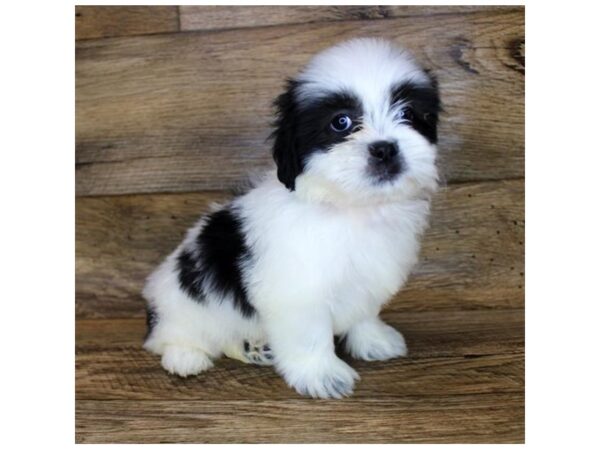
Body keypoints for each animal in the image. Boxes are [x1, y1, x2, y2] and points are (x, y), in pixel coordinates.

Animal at [142, 37, 440, 398]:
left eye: (409, 113)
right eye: (341, 122)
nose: (384, 148)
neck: (351, 206)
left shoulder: (367, 277)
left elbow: (364, 311)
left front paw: (373, 340)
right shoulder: (297, 290)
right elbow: (309, 334)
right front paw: (322, 375)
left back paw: (252, 348)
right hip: (185, 305)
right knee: (172, 337)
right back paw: (186, 357)